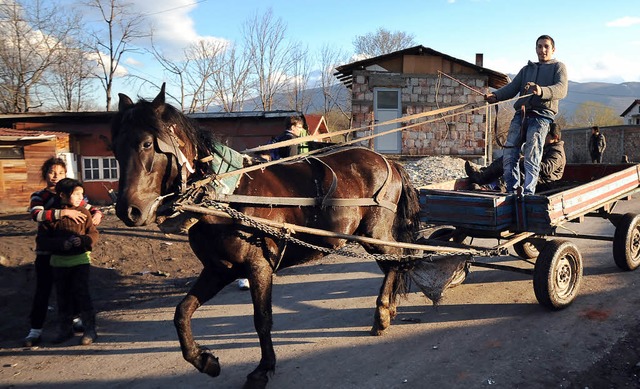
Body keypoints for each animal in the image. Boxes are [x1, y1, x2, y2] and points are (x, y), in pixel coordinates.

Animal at [111, 85, 420, 388]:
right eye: (114, 148)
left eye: (147, 144)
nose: (129, 211)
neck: (224, 195)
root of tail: (388, 161)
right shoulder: (218, 269)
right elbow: (182, 312)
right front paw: (204, 360)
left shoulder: (259, 265)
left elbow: (262, 318)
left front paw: (263, 368)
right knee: (394, 264)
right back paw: (389, 309)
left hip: (375, 233)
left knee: (397, 261)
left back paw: (383, 313)